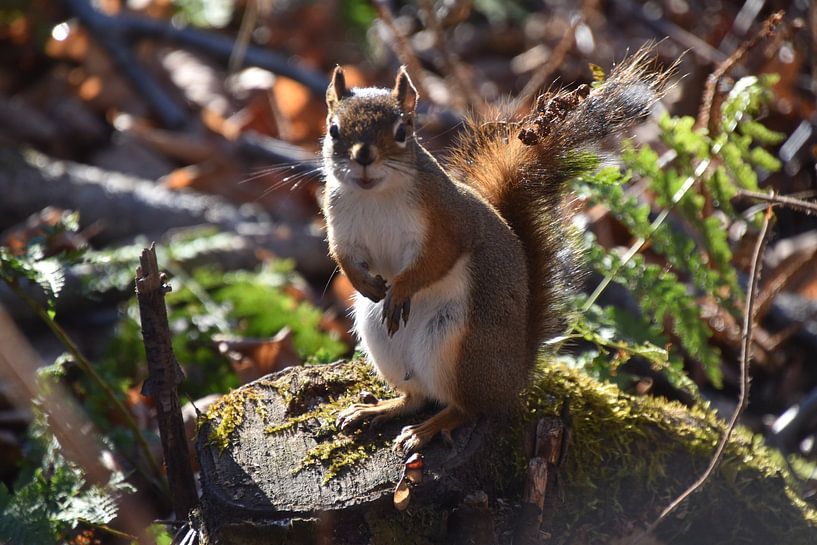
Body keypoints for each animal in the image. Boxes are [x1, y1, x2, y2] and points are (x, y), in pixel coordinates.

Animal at [321, 52, 667, 453]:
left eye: (401, 132)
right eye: (333, 129)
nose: (363, 157)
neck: (374, 195)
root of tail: (515, 376)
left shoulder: (449, 222)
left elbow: (438, 259)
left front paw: (402, 288)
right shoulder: (341, 223)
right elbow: (342, 255)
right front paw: (363, 282)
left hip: (460, 348)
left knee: (468, 408)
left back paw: (428, 429)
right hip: (379, 334)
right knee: (416, 397)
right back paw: (377, 409)